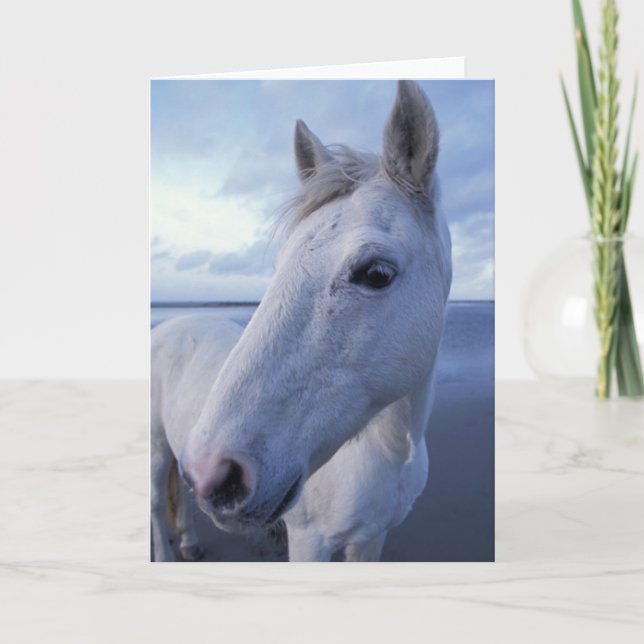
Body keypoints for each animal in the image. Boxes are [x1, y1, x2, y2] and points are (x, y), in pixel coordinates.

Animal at [151, 80, 452, 562]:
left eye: (376, 273)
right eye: (278, 264)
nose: (216, 472)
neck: (387, 451)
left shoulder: (371, 539)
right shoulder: (310, 542)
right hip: (158, 448)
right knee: (155, 503)